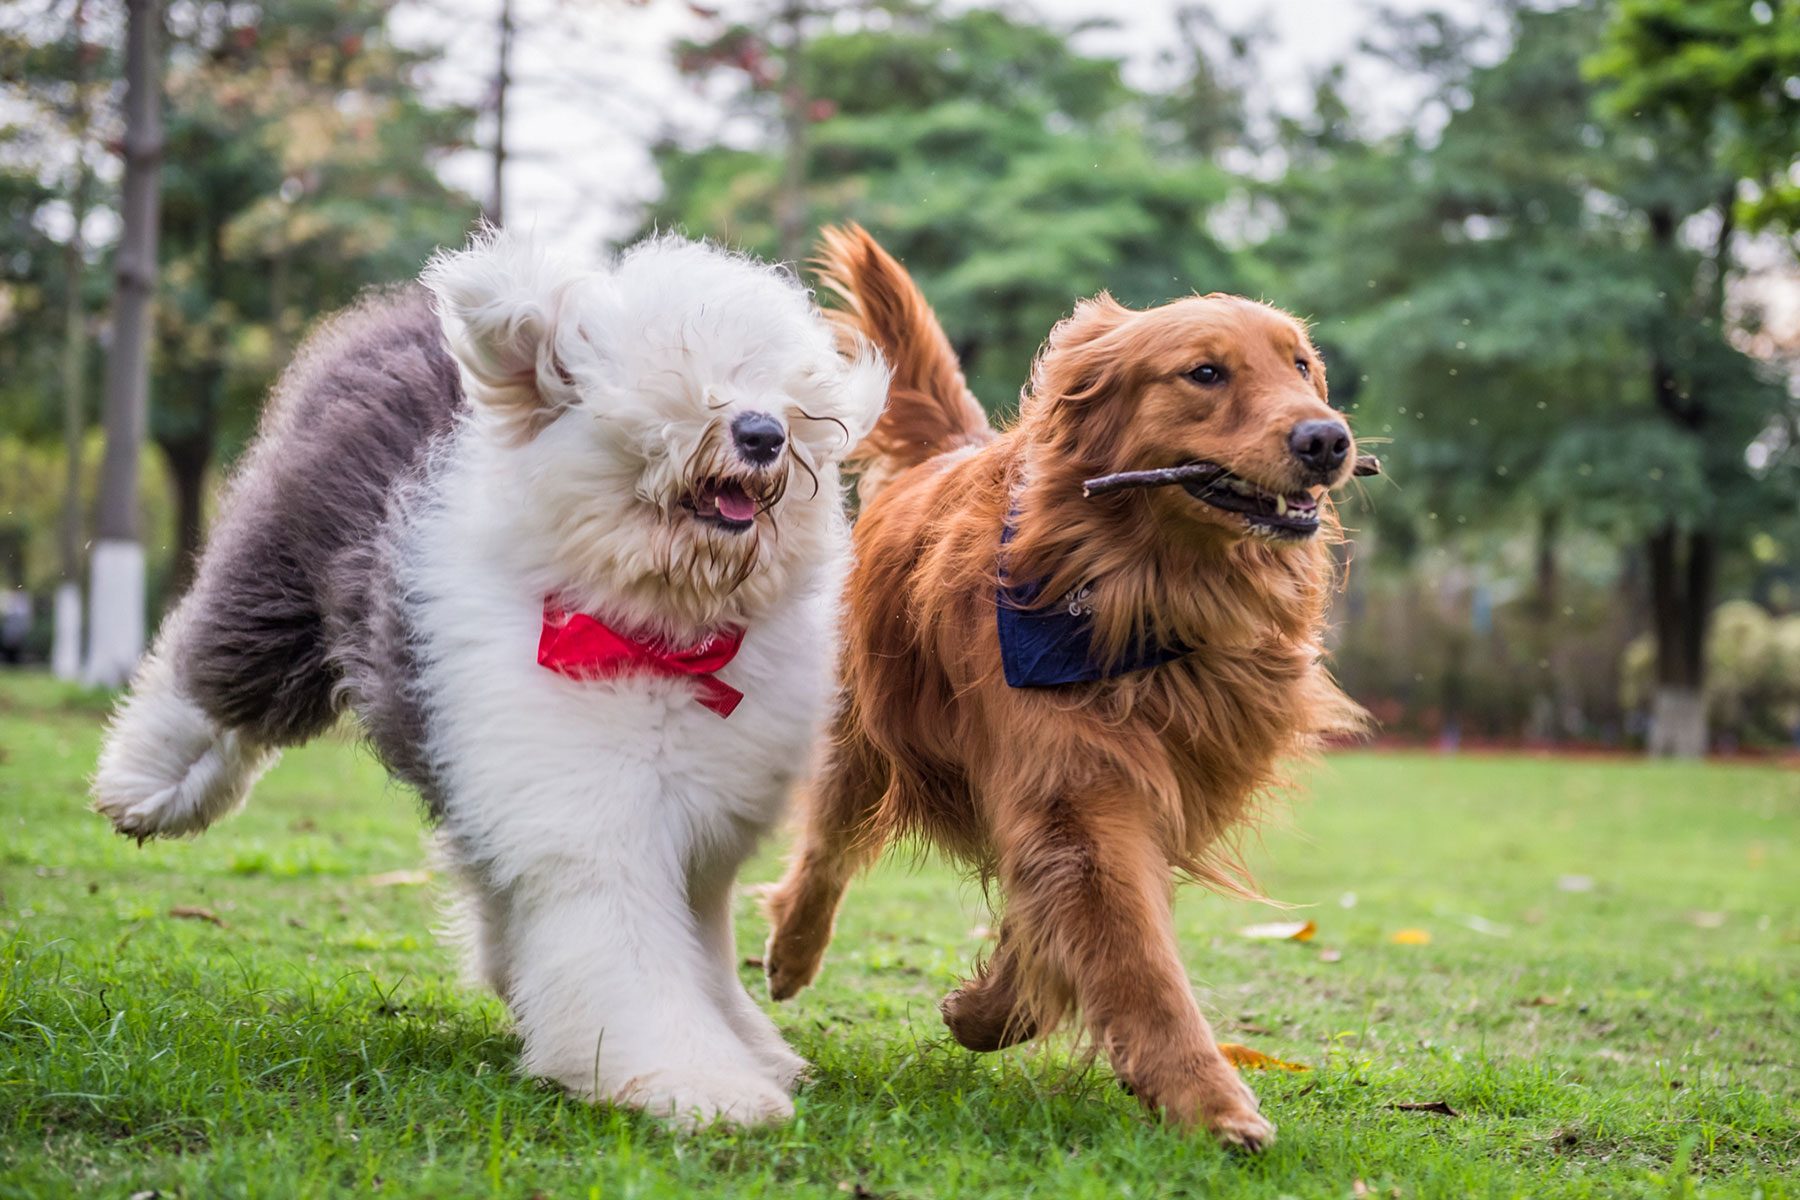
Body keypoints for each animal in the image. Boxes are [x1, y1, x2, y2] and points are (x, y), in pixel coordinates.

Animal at [91, 232, 892, 1129]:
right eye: (673, 375)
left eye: (786, 383)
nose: (762, 432)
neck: (652, 635)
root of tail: (402, 315)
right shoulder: (589, 820)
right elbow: (632, 959)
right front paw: (699, 1082)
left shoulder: (699, 830)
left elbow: (701, 950)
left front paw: (753, 1053)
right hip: (285, 571)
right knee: (218, 676)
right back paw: (144, 788)